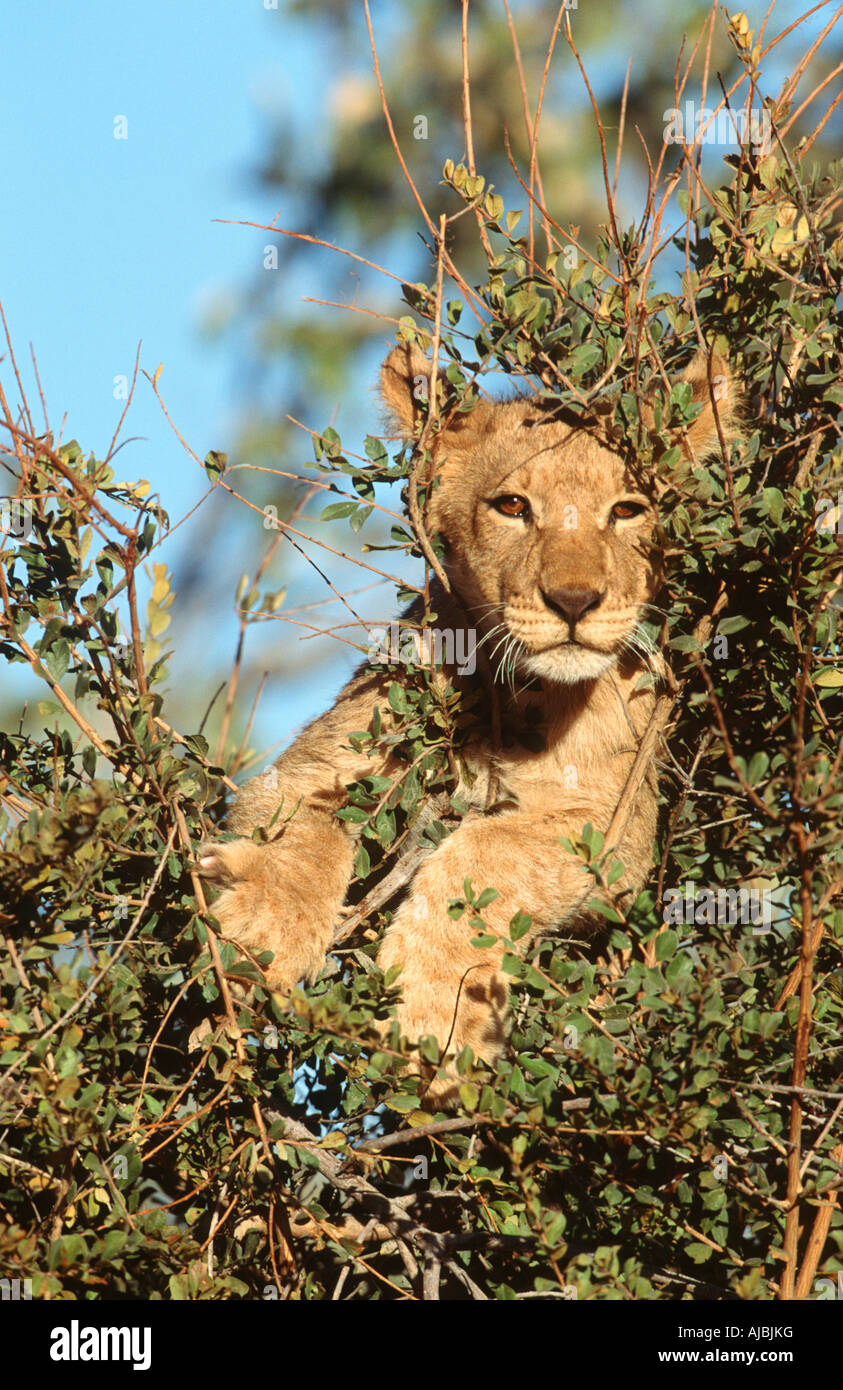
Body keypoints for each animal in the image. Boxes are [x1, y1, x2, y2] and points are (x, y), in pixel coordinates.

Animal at [199, 341, 737, 1098]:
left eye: (628, 509)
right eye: (512, 506)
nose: (575, 601)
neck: (516, 691)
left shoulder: (615, 827)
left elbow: (487, 852)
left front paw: (436, 1018)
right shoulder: (321, 762)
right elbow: (307, 825)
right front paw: (263, 926)